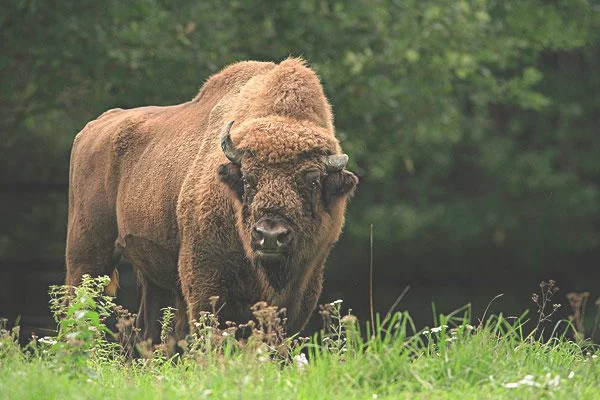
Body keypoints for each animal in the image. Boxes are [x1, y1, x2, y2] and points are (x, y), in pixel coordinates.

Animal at [67, 58, 356, 340]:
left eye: (313, 181)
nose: (270, 235)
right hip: (87, 255)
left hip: (152, 275)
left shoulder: (303, 288)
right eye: (247, 179)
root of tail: (91, 129)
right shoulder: (205, 280)